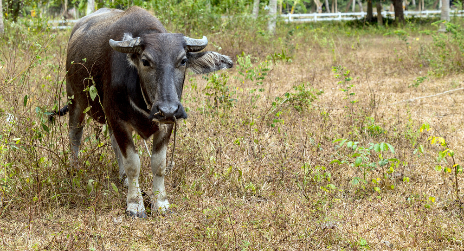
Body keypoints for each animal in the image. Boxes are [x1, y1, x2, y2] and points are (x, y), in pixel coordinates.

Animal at [51, 6, 232, 218]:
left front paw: (160, 202)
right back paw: (74, 169)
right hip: (74, 99)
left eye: (183, 60)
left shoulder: (165, 125)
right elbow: (133, 163)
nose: (168, 109)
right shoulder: (118, 120)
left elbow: (159, 164)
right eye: (146, 61)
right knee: (75, 135)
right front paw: (135, 204)